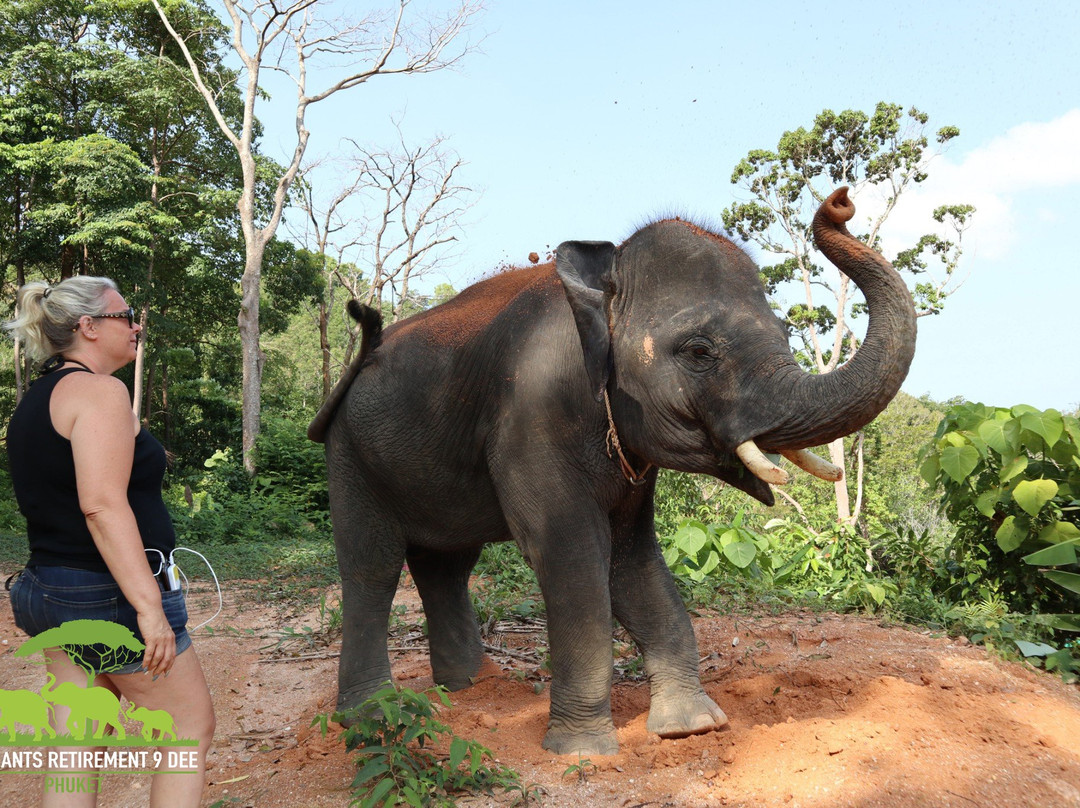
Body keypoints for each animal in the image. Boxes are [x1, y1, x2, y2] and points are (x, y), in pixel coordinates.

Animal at [309, 188, 916, 755]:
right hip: (350, 454)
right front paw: (581, 750)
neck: (603, 280)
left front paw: (692, 727)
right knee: (371, 567)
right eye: (700, 351)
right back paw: (369, 717)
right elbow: (575, 554)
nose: (840, 202)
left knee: (446, 566)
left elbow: (633, 561)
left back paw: (472, 687)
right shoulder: (531, 416)